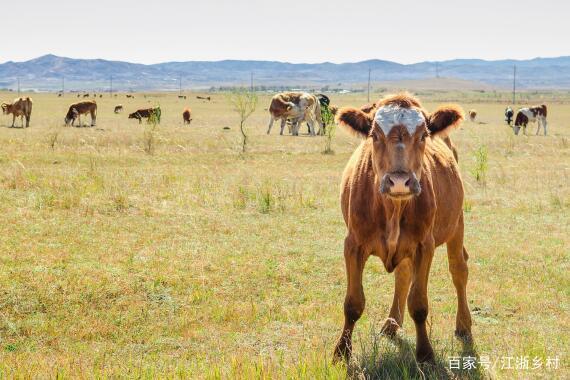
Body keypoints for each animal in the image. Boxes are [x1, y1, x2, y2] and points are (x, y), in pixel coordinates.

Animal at [330, 93, 468, 364]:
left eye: (423, 135)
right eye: (374, 135)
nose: (400, 181)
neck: (392, 208)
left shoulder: (424, 246)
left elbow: (419, 304)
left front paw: (425, 354)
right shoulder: (353, 244)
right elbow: (353, 303)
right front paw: (342, 351)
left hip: (456, 223)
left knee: (459, 270)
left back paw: (464, 325)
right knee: (403, 275)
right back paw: (392, 324)